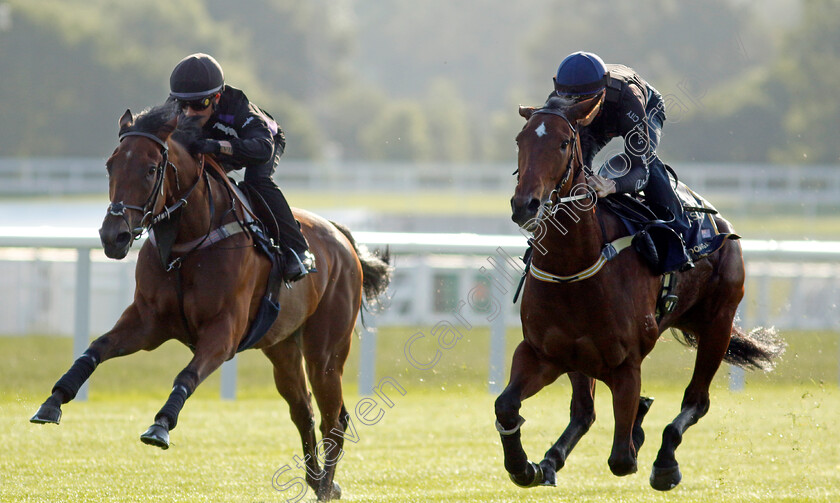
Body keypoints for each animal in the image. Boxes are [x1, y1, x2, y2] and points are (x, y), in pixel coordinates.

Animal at [28, 102, 390, 500]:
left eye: (151, 169)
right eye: (111, 164)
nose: (113, 236)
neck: (187, 245)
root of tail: (341, 236)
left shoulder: (223, 333)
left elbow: (187, 373)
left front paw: (161, 425)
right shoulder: (147, 323)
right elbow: (96, 348)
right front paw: (53, 401)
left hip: (326, 349)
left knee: (333, 416)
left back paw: (325, 485)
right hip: (281, 347)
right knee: (302, 410)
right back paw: (318, 479)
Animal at [496, 97, 784, 492]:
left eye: (563, 143)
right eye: (519, 140)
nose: (525, 204)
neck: (574, 266)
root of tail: (722, 225)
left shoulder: (626, 364)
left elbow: (622, 457)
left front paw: (640, 431)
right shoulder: (544, 353)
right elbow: (506, 406)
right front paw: (524, 466)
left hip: (718, 325)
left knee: (697, 401)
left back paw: (665, 462)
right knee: (584, 412)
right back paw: (552, 460)